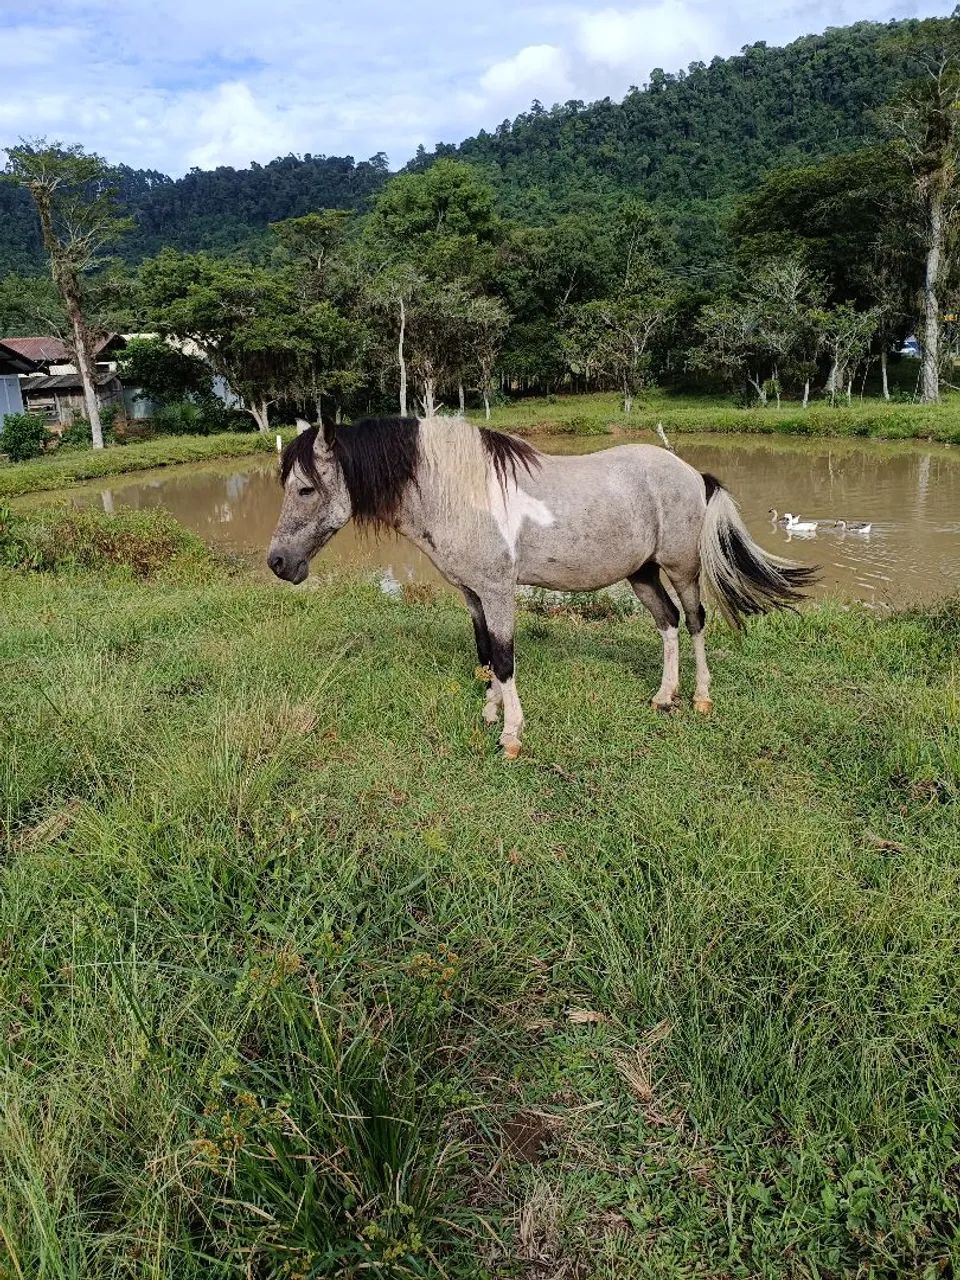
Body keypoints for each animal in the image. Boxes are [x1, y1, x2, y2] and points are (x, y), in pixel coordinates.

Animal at [268, 416, 815, 757]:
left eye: (306, 488)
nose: (278, 563)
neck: (460, 494)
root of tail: (690, 473)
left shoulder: (498, 590)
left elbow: (506, 657)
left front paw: (511, 735)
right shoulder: (474, 594)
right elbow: (487, 652)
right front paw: (491, 711)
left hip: (681, 568)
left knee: (696, 621)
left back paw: (700, 698)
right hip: (640, 574)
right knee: (669, 622)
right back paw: (664, 697)